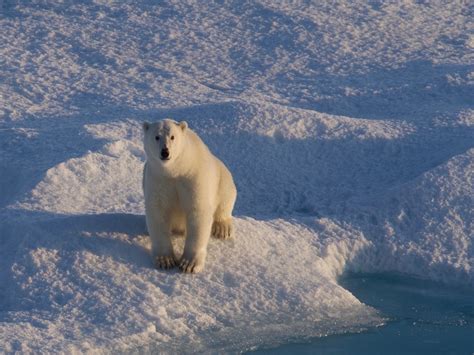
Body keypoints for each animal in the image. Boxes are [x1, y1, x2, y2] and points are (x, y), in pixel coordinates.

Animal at [142, 120, 236, 276]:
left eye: (172, 136)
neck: (176, 169)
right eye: (156, 136)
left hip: (222, 176)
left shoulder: (193, 176)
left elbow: (198, 212)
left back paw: (222, 228)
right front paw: (165, 260)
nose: (165, 152)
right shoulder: (157, 179)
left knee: (226, 194)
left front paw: (189, 264)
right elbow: (158, 212)